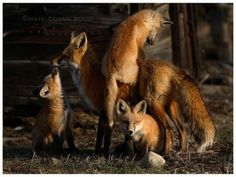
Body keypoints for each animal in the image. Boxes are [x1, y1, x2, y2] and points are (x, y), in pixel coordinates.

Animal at [100, 9, 172, 153]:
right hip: (134, 77)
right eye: (157, 29)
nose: (152, 43)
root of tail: (112, 71)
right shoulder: (141, 45)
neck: (137, 19)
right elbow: (142, 54)